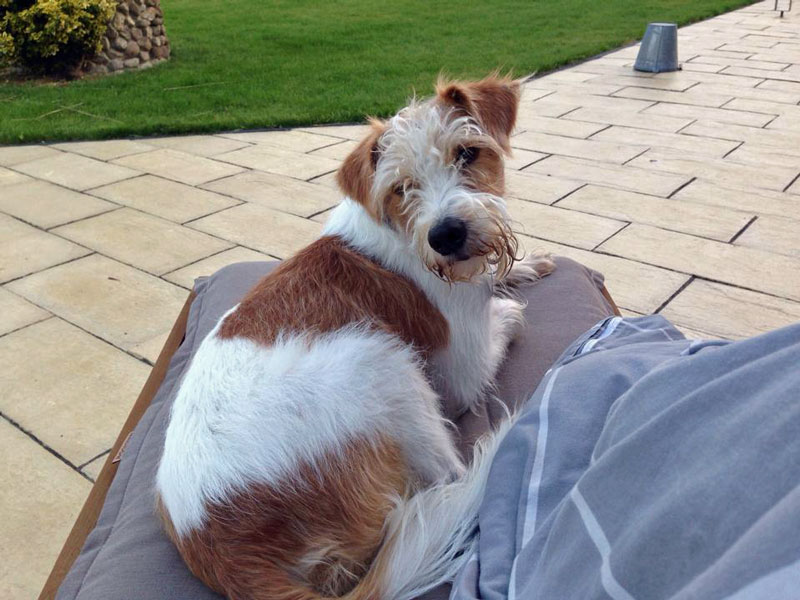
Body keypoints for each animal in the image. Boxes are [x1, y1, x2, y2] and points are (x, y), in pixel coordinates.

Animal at [156, 74, 554, 600]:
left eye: (467, 154)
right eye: (401, 188)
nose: (447, 236)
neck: (401, 232)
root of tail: (224, 553)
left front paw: (524, 266)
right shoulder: (464, 366)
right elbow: (508, 318)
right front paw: (508, 303)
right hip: (381, 361)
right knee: (447, 475)